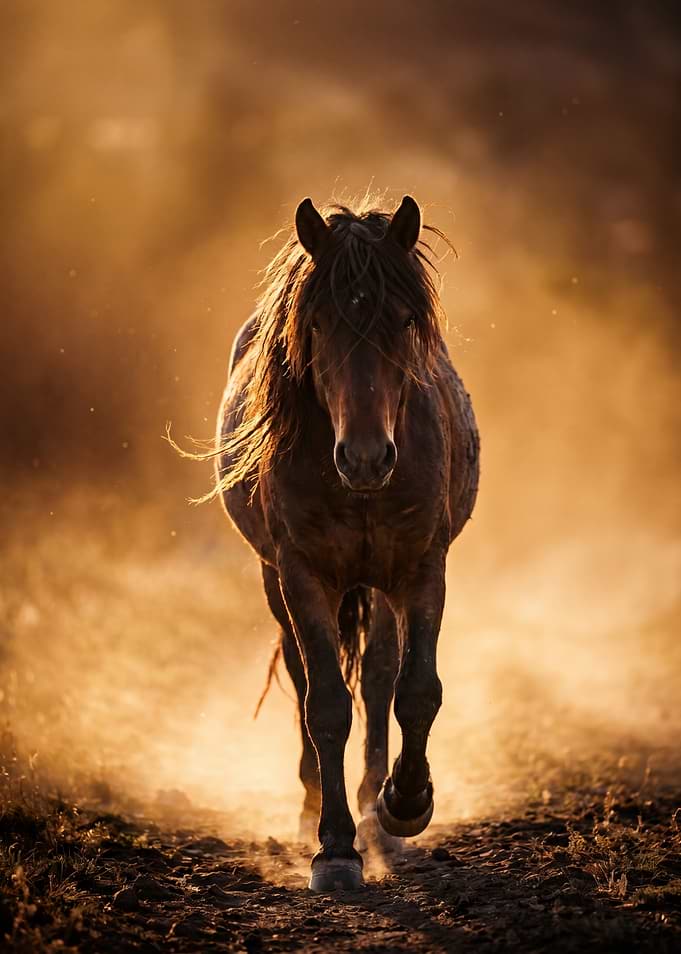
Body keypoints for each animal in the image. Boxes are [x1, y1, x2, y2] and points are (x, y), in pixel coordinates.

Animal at [208, 195, 479, 891]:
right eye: (319, 322)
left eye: (404, 320)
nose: (364, 458)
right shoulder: (302, 575)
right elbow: (327, 703)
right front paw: (333, 849)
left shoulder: (422, 569)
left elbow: (416, 690)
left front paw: (405, 803)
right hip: (277, 581)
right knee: (304, 675)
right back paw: (318, 809)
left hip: (379, 585)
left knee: (381, 678)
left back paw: (375, 805)